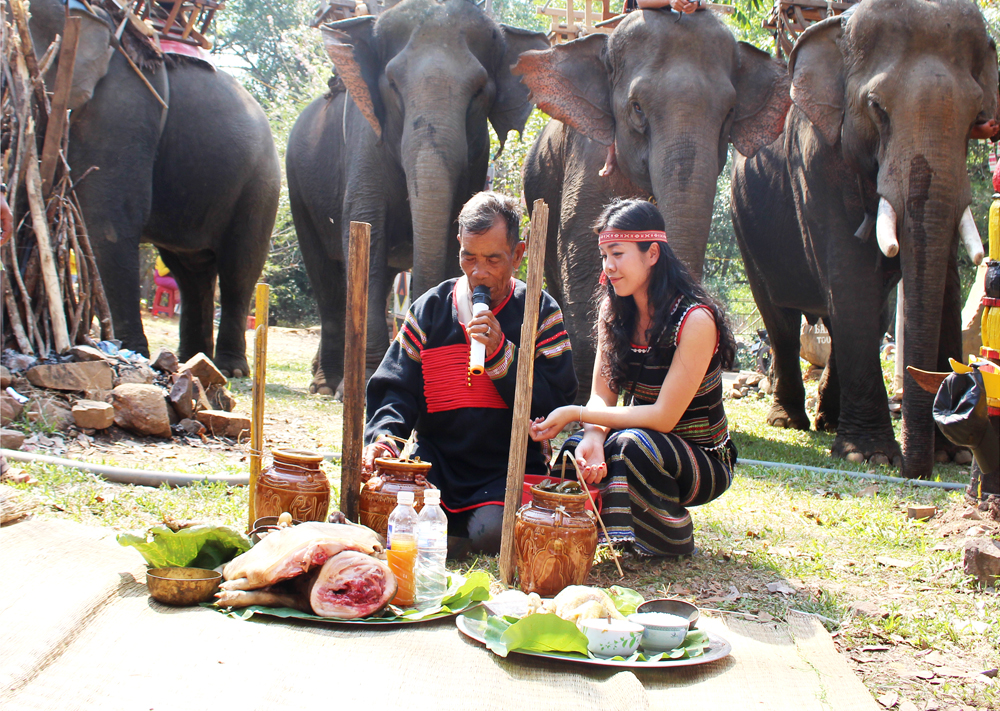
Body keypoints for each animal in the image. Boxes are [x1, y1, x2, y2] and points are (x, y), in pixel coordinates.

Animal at [25, 0, 280, 378]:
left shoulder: (122, 112)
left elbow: (108, 225)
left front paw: (126, 352)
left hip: (260, 183)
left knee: (239, 265)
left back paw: (231, 370)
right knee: (191, 270)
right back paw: (195, 360)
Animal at [286, 0, 552, 394]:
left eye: (479, 91)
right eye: (393, 85)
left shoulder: (476, 155)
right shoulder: (365, 139)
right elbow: (366, 230)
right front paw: (364, 383)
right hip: (298, 185)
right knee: (325, 277)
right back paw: (326, 385)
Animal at [728, 0, 1000, 482]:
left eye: (976, 117)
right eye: (877, 107)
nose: (917, 471)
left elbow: (944, 279)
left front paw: (956, 455)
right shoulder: (816, 159)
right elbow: (850, 274)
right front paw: (870, 457)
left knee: (855, 319)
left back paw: (829, 421)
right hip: (747, 228)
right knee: (781, 320)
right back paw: (789, 421)